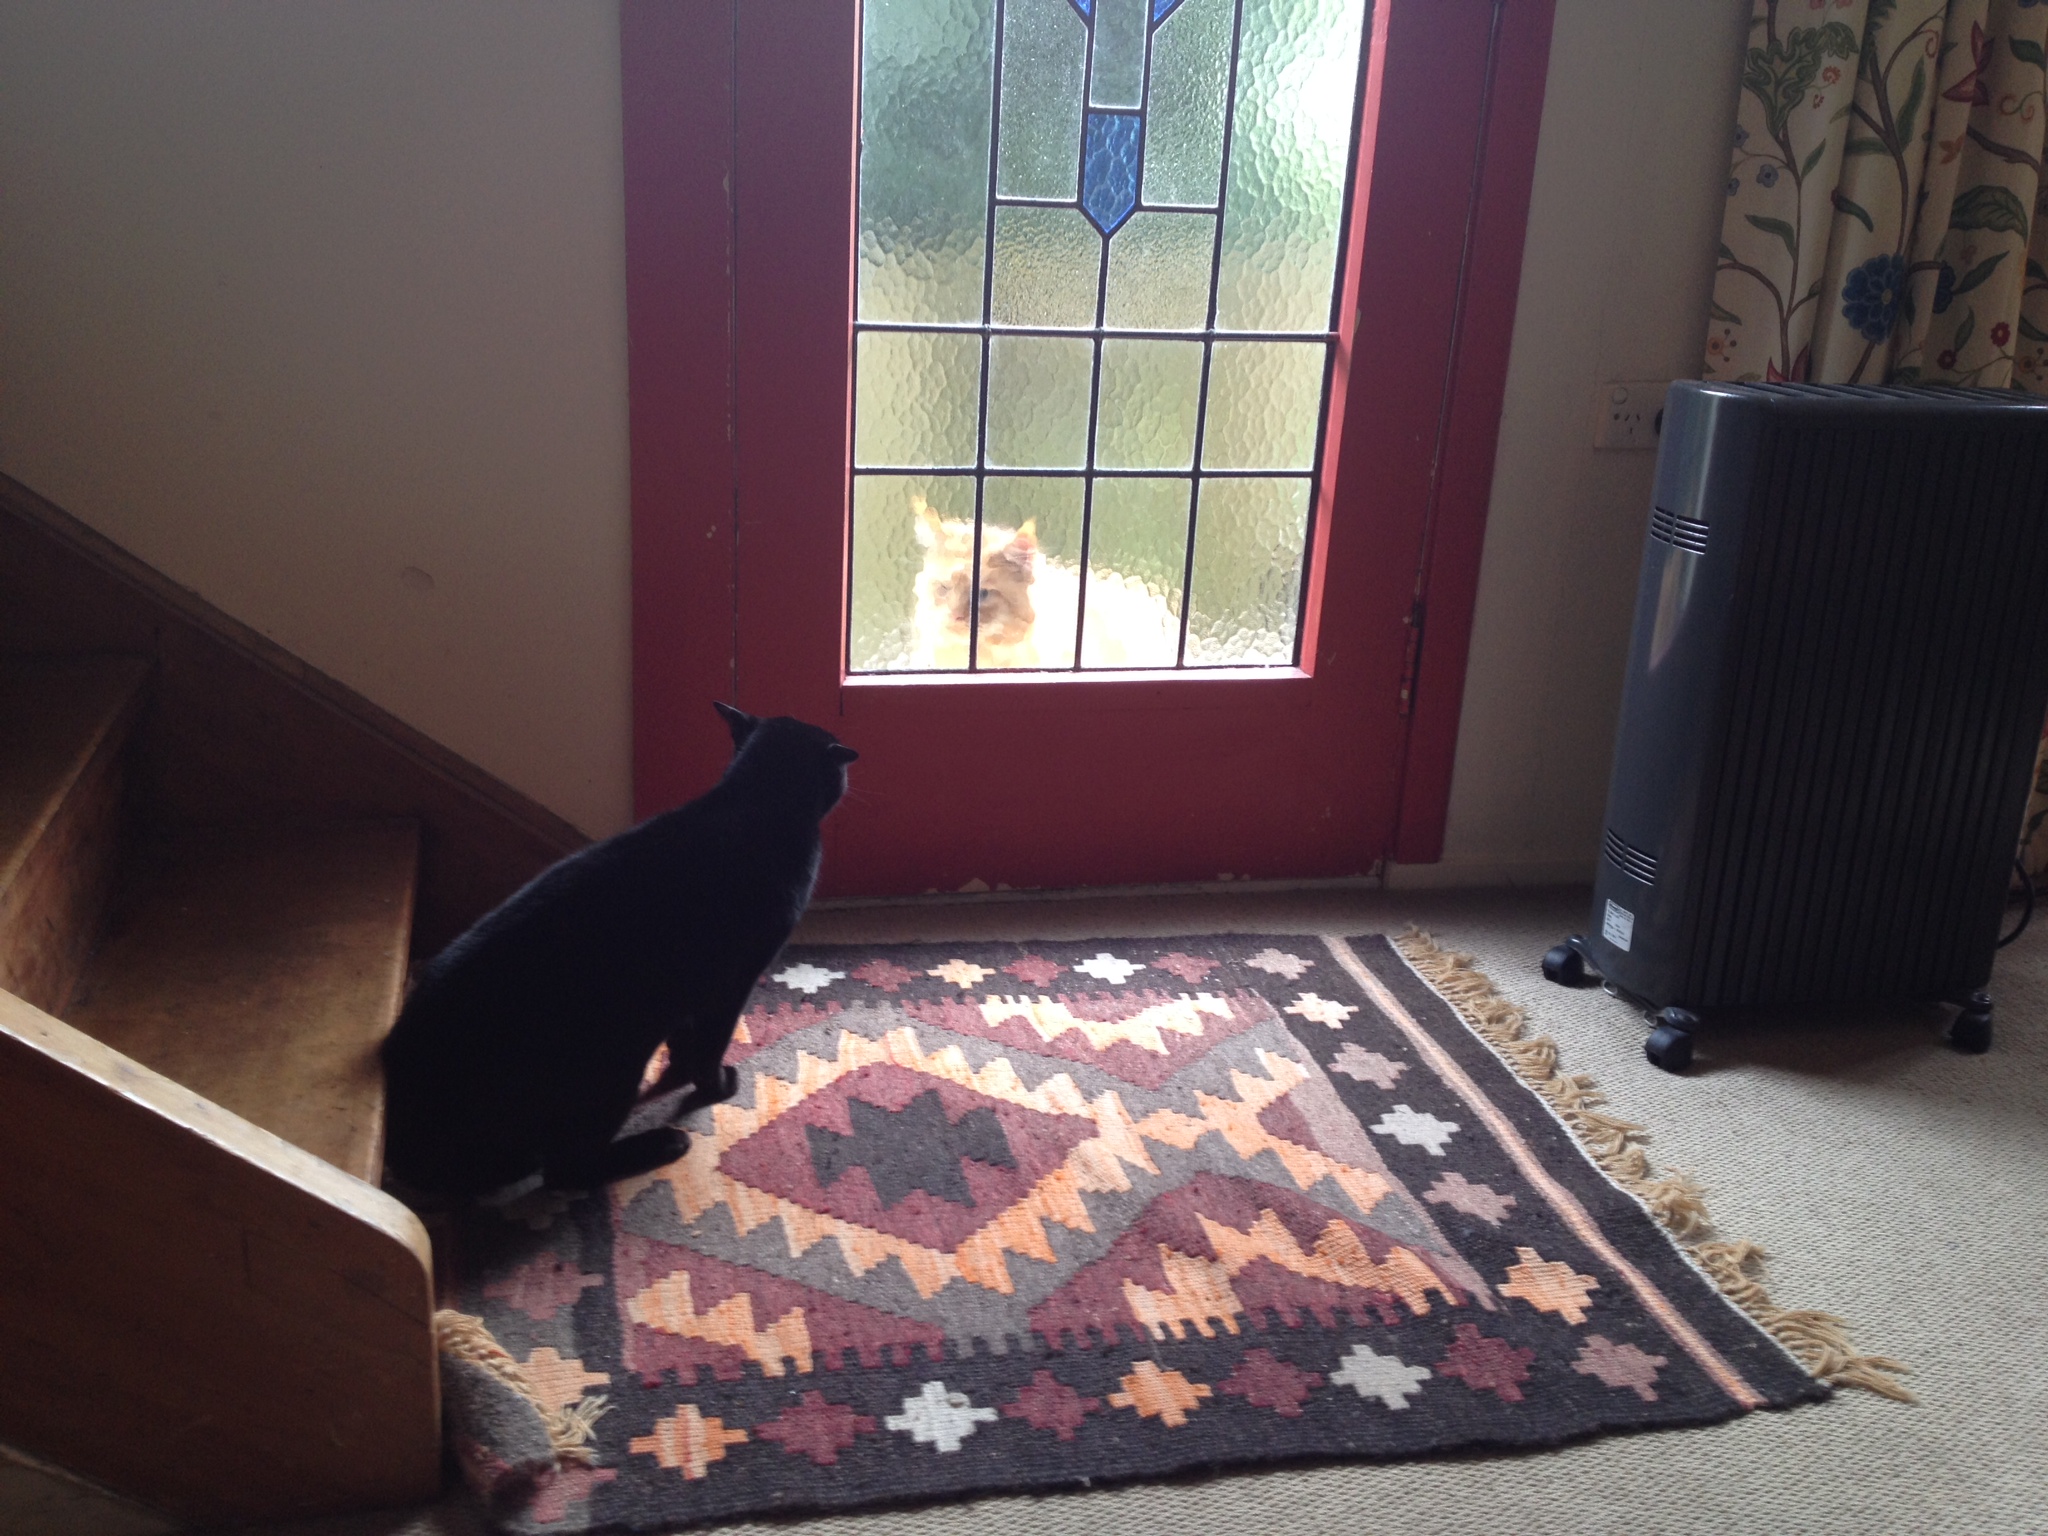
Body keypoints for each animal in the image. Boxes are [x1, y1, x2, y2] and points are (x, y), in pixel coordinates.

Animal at [379, 701, 856, 1201]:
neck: (754, 802)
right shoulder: (730, 985)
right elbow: (710, 1046)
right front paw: (715, 1087)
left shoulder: (688, 991)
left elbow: (684, 1041)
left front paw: (680, 1073)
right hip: (613, 1065)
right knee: (566, 1170)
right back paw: (661, 1144)